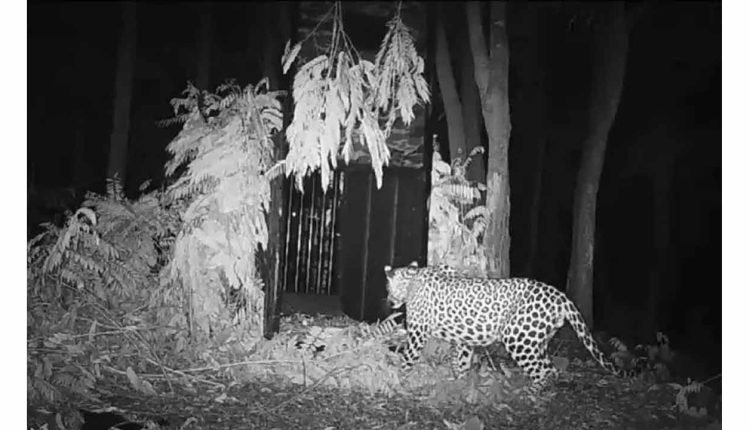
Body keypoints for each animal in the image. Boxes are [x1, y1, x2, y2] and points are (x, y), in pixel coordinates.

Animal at [383, 263, 633, 392]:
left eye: (388, 287)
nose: (388, 300)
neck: (412, 282)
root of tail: (560, 295)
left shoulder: (417, 332)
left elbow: (408, 358)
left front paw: (398, 379)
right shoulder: (464, 339)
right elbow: (461, 361)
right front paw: (459, 382)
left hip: (518, 340)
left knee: (542, 370)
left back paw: (530, 394)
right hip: (536, 340)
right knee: (551, 369)